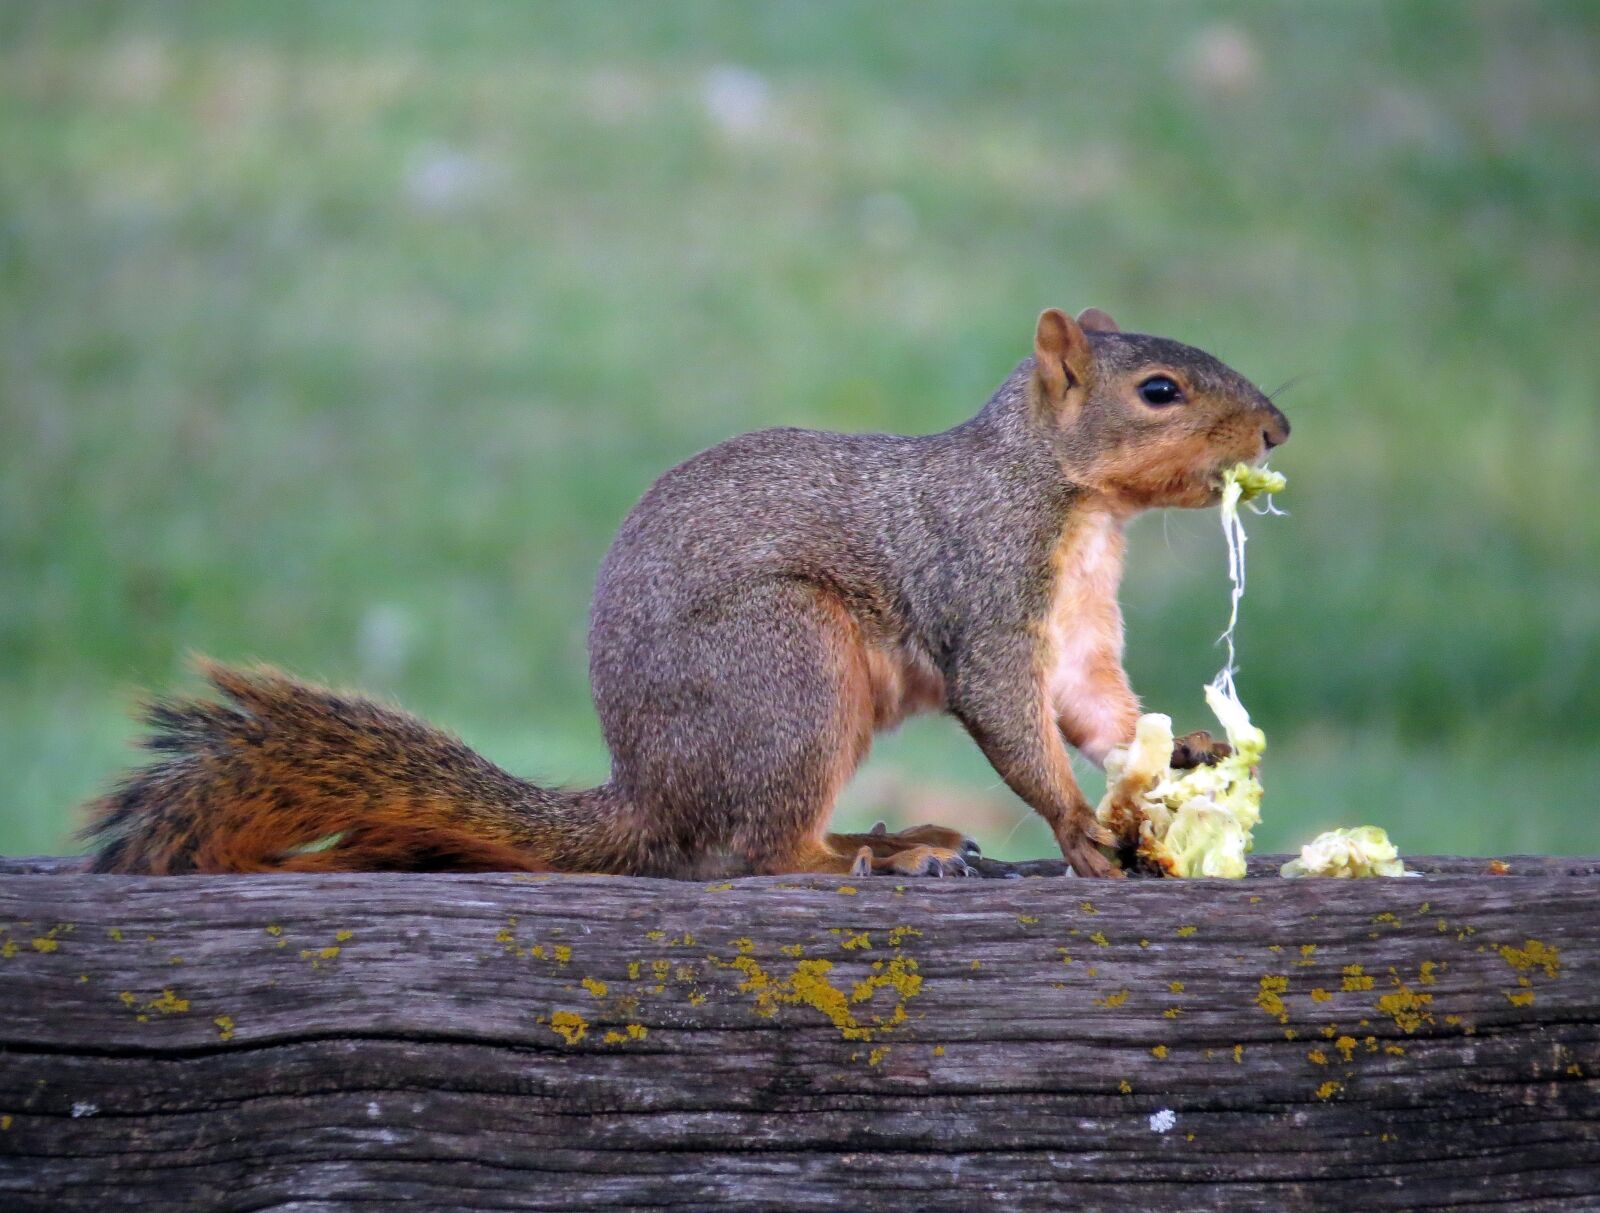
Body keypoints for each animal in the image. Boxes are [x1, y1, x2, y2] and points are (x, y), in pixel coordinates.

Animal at [84, 310, 1286, 883]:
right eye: (1159, 390)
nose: (1276, 431)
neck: (1063, 496)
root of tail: (649, 796)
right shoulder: (983, 587)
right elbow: (1009, 714)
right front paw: (1081, 828)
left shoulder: (1074, 633)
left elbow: (1094, 707)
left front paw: (1183, 759)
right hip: (791, 668)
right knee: (751, 857)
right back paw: (882, 852)